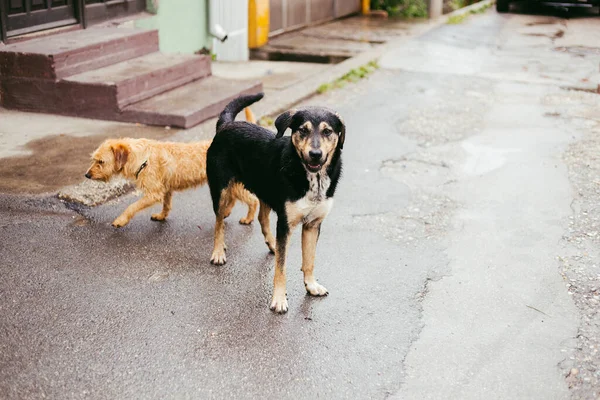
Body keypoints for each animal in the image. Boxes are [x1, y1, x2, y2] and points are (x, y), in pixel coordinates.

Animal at [85, 109, 258, 228]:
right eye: (94, 159)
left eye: (101, 161)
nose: (87, 175)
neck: (142, 157)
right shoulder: (166, 189)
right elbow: (166, 205)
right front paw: (162, 216)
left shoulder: (153, 193)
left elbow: (132, 206)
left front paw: (121, 220)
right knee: (233, 198)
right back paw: (227, 212)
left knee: (253, 200)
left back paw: (248, 218)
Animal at [207, 93, 344, 312]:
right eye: (303, 130)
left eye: (327, 131)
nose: (315, 154)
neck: (312, 178)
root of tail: (226, 125)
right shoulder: (286, 223)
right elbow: (281, 267)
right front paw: (279, 299)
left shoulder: (312, 225)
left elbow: (309, 260)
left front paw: (311, 285)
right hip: (221, 193)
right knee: (219, 222)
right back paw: (218, 251)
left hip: (266, 191)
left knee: (263, 219)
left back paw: (272, 244)